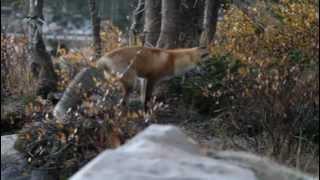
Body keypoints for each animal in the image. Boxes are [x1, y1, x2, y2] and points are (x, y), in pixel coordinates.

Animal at [53, 46, 211, 118]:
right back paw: (122, 115)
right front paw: (147, 115)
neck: (172, 60)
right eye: (204, 64)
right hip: (130, 82)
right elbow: (147, 100)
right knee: (121, 102)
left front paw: (144, 113)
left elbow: (142, 98)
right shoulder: (152, 79)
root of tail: (103, 58)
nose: (208, 72)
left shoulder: (144, 79)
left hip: (119, 80)